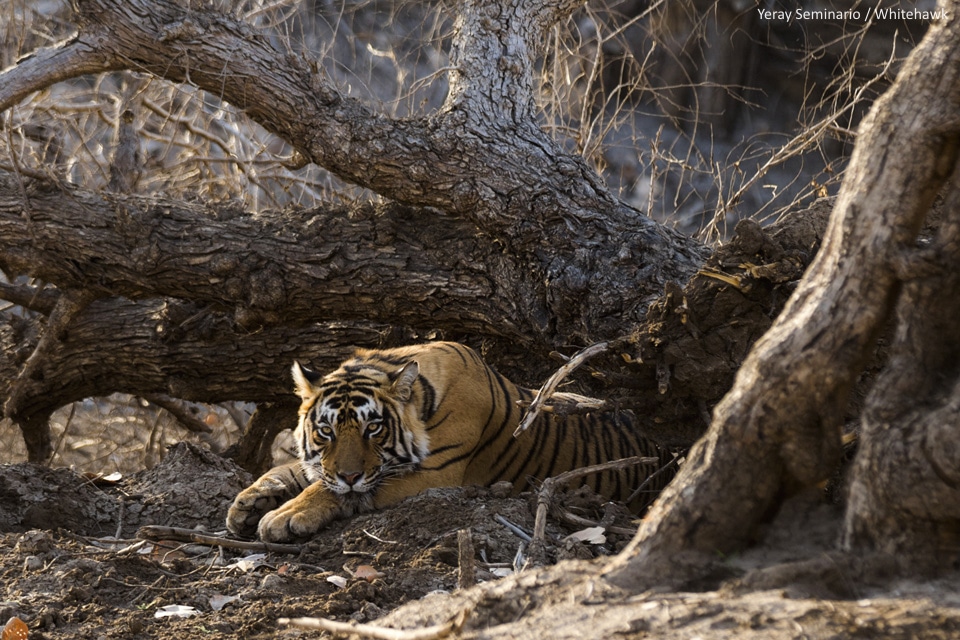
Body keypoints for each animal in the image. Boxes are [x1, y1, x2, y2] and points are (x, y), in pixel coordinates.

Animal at [228, 340, 672, 540]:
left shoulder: (433, 475)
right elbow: (296, 471)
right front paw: (247, 504)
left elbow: (334, 490)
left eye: (373, 428)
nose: (350, 474)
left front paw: (284, 516)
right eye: (326, 430)